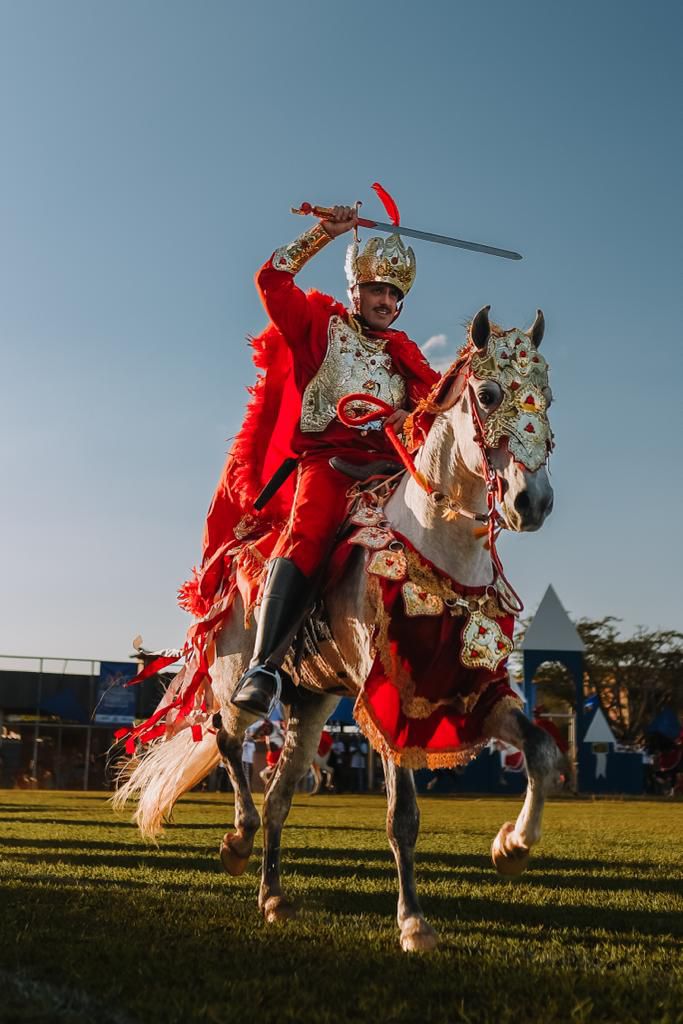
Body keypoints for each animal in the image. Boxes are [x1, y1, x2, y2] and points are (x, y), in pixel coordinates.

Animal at [113, 303, 561, 950]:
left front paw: (512, 847)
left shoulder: (467, 691)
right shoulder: (393, 696)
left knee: (279, 793)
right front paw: (413, 921)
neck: (437, 549)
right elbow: (403, 818)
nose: (534, 502)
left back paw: (273, 895)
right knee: (227, 736)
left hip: (314, 700)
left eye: (547, 397)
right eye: (489, 393)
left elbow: (542, 750)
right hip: (235, 674)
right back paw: (237, 839)